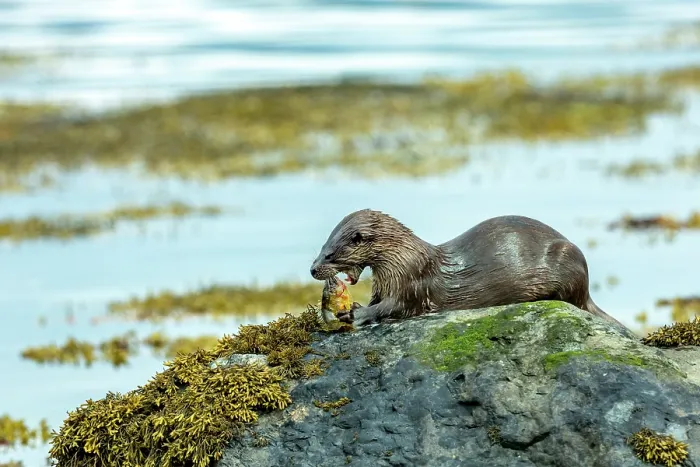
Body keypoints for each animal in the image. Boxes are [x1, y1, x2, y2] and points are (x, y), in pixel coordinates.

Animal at [310, 209, 632, 335]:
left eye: (330, 253)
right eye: (321, 246)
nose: (313, 269)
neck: (400, 261)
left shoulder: (412, 283)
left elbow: (394, 307)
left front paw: (355, 313)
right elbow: (379, 302)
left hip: (567, 259)